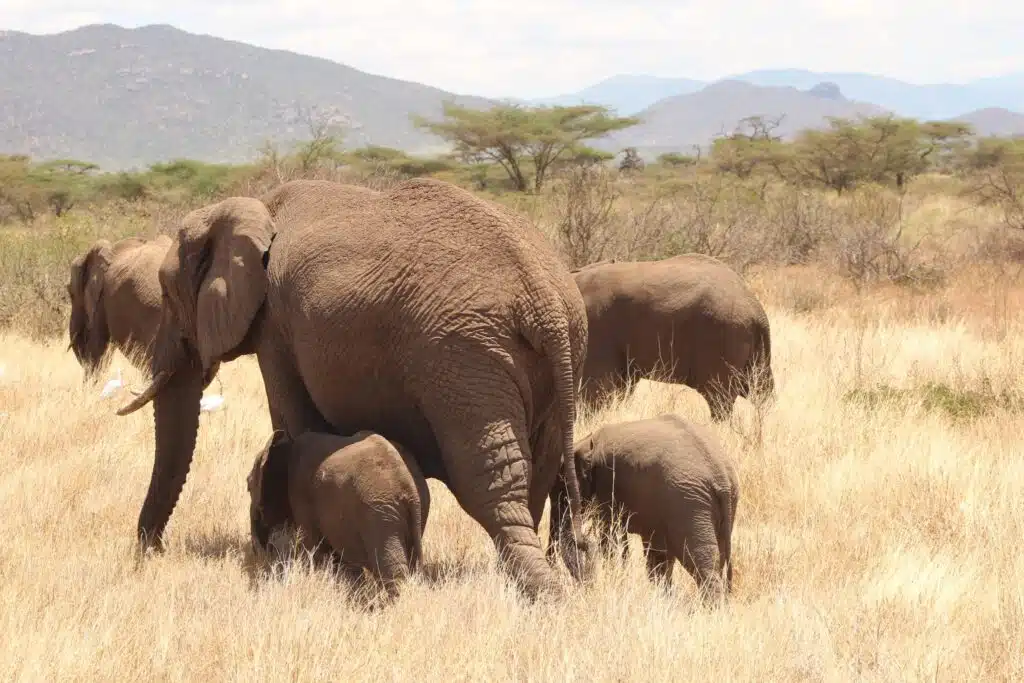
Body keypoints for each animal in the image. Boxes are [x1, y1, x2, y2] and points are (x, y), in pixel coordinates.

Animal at [548, 413, 739, 605]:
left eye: (562, 493)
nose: (583, 543)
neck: (587, 443)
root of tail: (721, 476)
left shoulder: (606, 485)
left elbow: (609, 536)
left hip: (689, 505)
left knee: (701, 562)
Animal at [572, 253, 774, 421]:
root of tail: (757, 312)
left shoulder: (597, 329)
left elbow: (594, 390)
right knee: (760, 392)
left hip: (724, 337)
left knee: (719, 398)